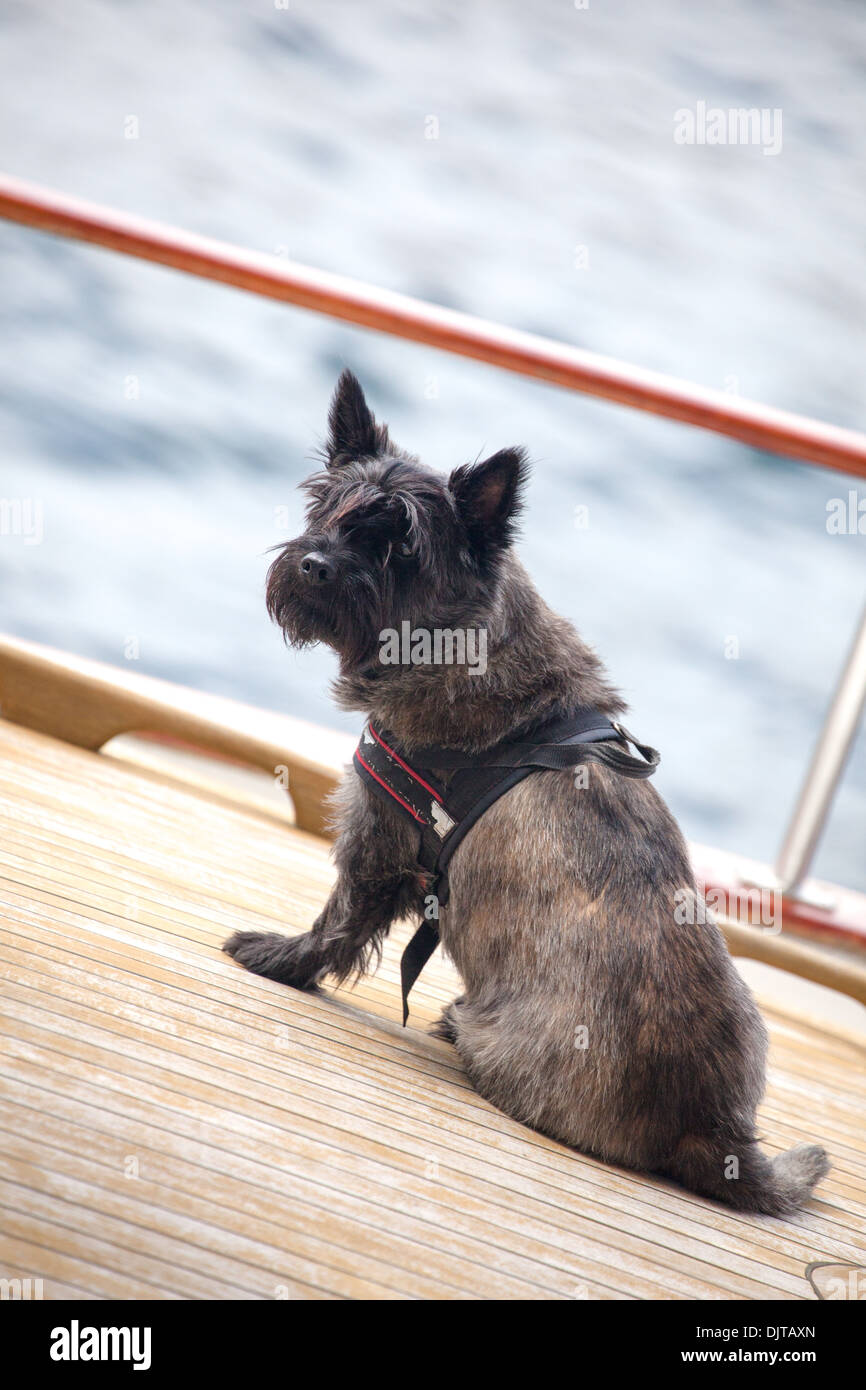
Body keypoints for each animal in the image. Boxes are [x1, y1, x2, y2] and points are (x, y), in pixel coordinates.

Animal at [225, 372, 834, 1217]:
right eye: (327, 505)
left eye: (400, 545)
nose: (313, 564)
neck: (463, 640)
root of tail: (714, 1131)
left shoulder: (378, 829)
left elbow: (340, 919)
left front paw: (280, 958)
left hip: (501, 1040)